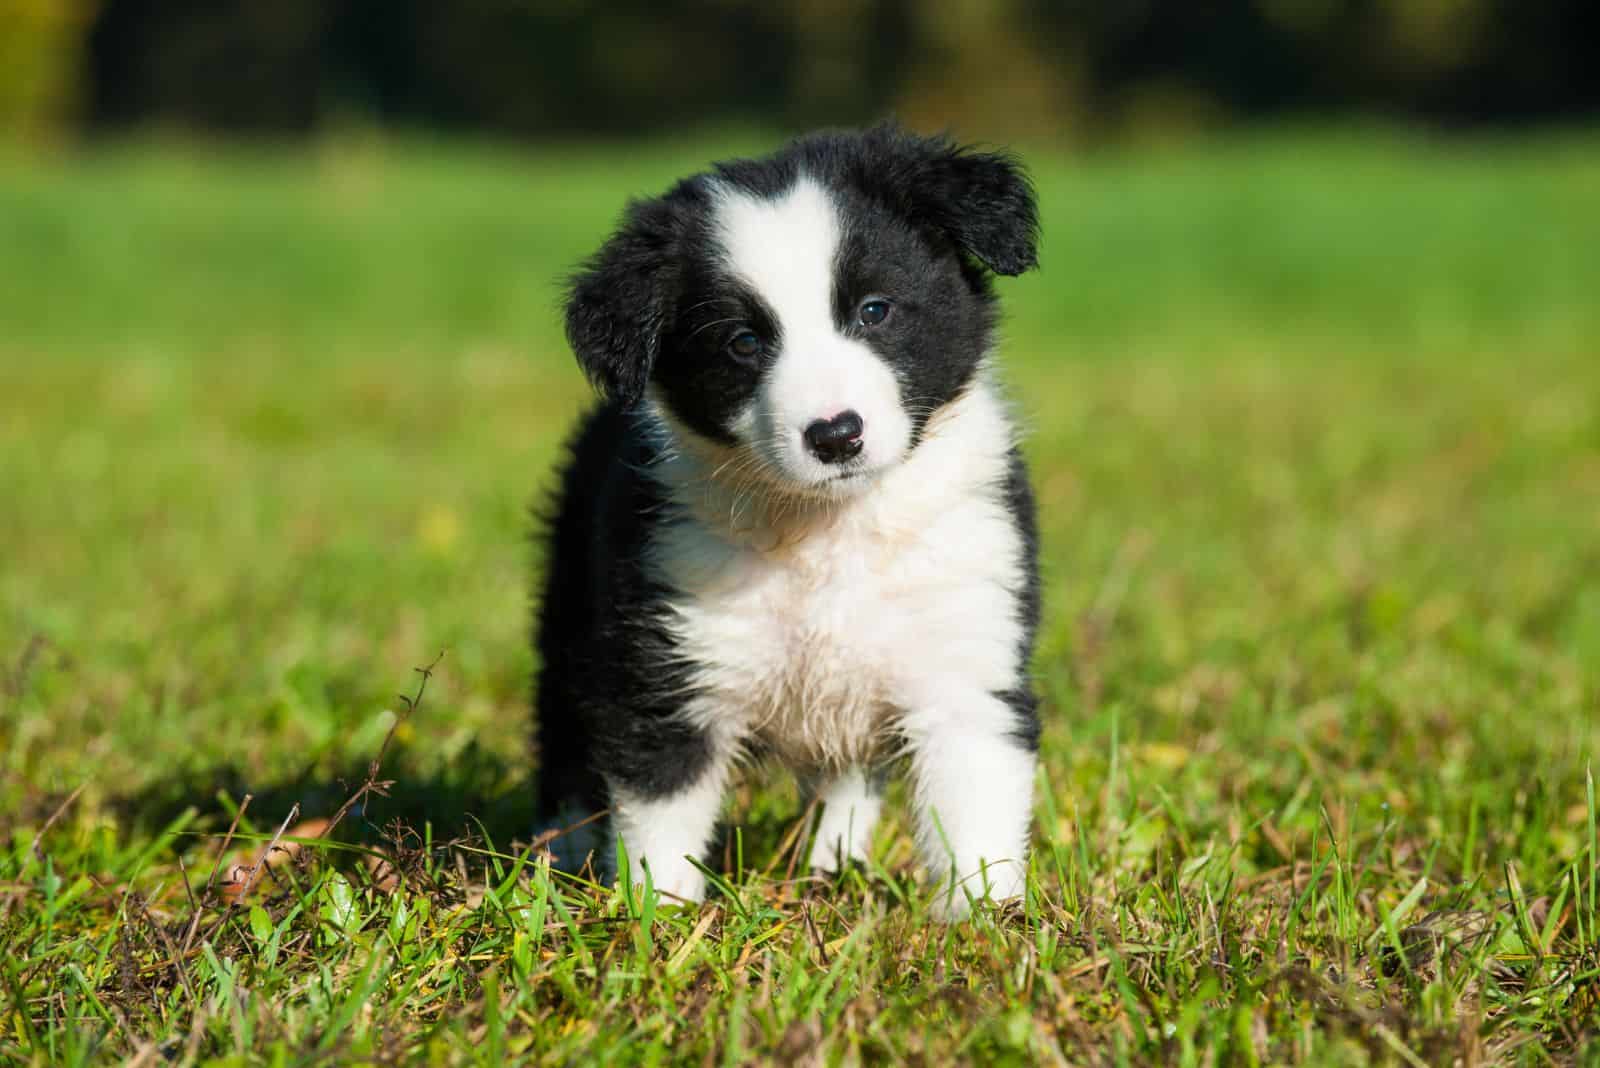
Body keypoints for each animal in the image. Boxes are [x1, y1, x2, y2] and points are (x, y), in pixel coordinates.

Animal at [531, 120, 1043, 914]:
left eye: (874, 310)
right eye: (743, 342)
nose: (836, 435)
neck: (828, 530)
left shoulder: (965, 647)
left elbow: (973, 809)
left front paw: (984, 922)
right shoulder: (666, 662)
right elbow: (661, 814)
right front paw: (658, 923)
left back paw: (833, 866)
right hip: (571, 610)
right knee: (562, 735)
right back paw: (558, 856)